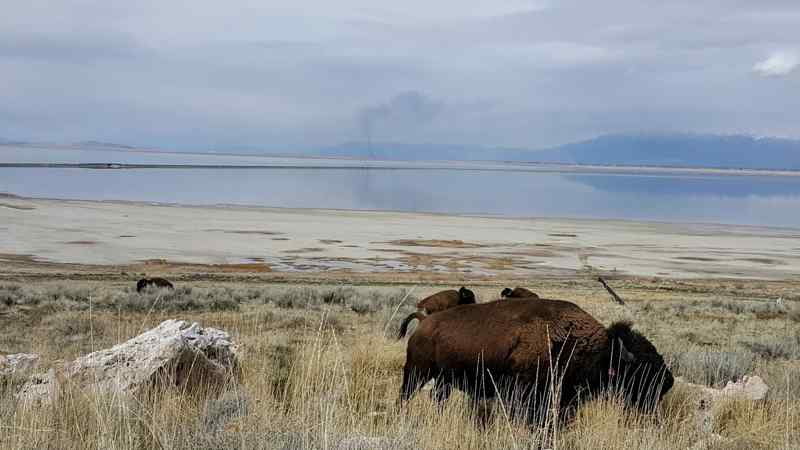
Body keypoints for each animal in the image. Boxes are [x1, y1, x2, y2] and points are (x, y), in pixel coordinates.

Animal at [400, 298, 676, 418]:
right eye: (641, 365)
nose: (668, 381)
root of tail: (424, 322)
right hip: (416, 373)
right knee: (405, 397)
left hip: (443, 380)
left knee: (438, 398)